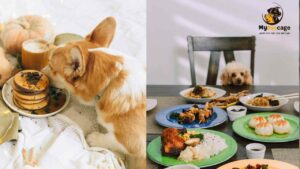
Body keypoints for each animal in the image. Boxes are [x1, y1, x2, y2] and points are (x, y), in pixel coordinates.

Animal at [44, 16, 146, 168]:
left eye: (51, 66)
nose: (39, 73)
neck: (110, 83)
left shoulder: (134, 143)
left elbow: (112, 139)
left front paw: (94, 139)